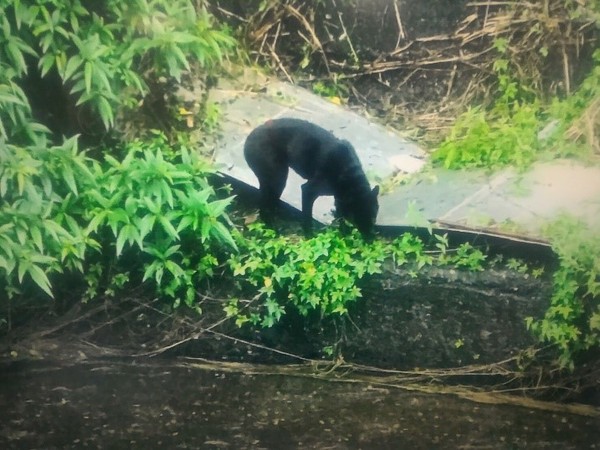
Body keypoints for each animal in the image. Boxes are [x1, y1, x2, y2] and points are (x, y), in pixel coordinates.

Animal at [244, 118, 380, 234]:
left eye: (374, 217)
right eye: (356, 219)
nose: (370, 239)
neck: (349, 177)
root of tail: (249, 138)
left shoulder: (338, 198)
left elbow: (340, 215)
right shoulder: (308, 190)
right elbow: (307, 217)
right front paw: (309, 236)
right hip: (278, 179)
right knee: (264, 207)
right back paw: (273, 228)